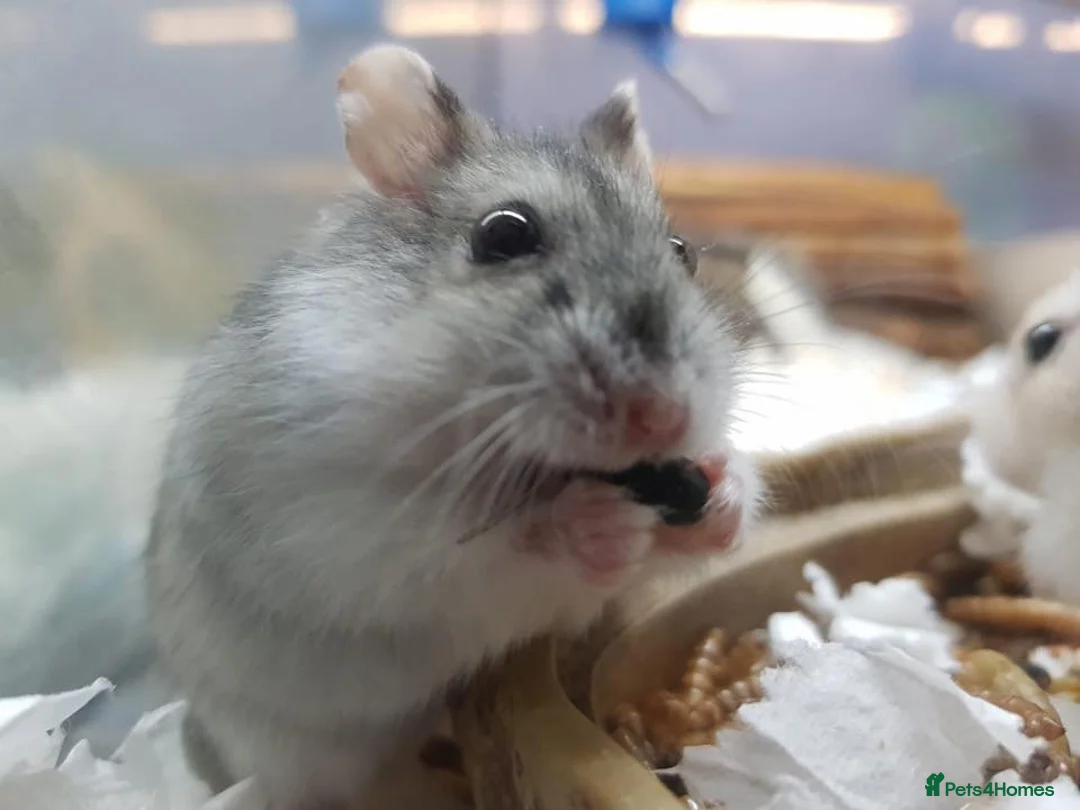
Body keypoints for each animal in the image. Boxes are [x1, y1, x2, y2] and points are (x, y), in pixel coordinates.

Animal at [145, 44, 760, 810]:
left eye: (683, 252)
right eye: (504, 235)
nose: (664, 419)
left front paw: (723, 490)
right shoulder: (354, 531)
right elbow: (485, 544)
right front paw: (597, 522)